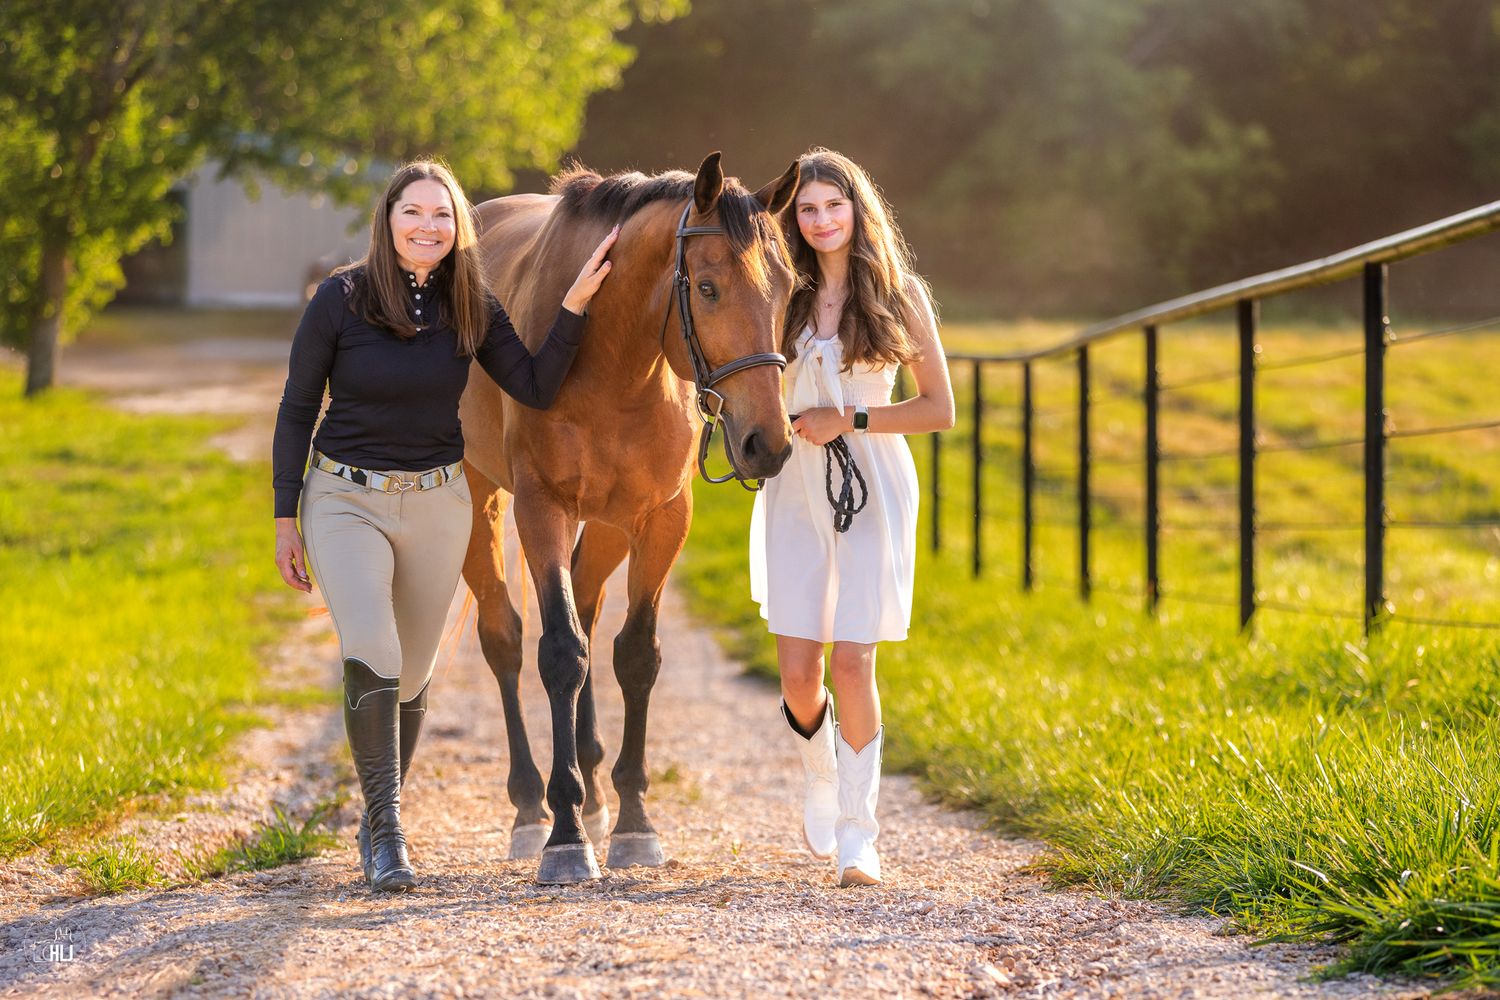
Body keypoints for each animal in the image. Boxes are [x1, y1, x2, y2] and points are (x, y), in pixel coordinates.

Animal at [458, 152, 801, 883]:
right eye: (707, 288)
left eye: (788, 287)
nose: (769, 443)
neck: (610, 357)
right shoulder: (541, 509)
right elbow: (560, 653)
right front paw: (564, 835)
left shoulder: (661, 518)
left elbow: (635, 654)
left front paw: (634, 822)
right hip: (481, 502)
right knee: (505, 636)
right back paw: (532, 807)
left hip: (610, 526)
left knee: (587, 607)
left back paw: (592, 793)